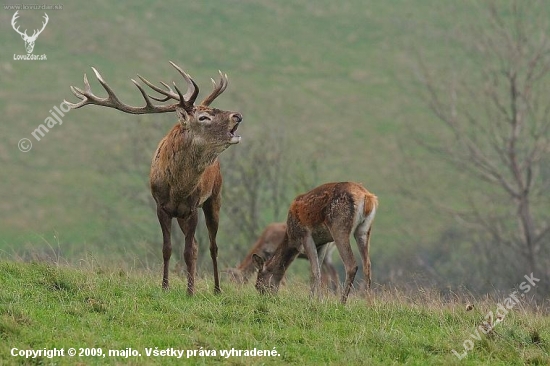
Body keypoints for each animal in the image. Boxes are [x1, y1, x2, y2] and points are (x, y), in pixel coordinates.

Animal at [66, 60, 243, 294]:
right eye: (203, 117)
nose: (237, 115)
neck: (178, 189)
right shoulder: (161, 206)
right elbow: (168, 248)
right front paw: (165, 287)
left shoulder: (193, 207)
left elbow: (187, 251)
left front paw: (189, 292)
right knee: (198, 245)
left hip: (215, 196)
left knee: (213, 246)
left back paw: (216, 288)